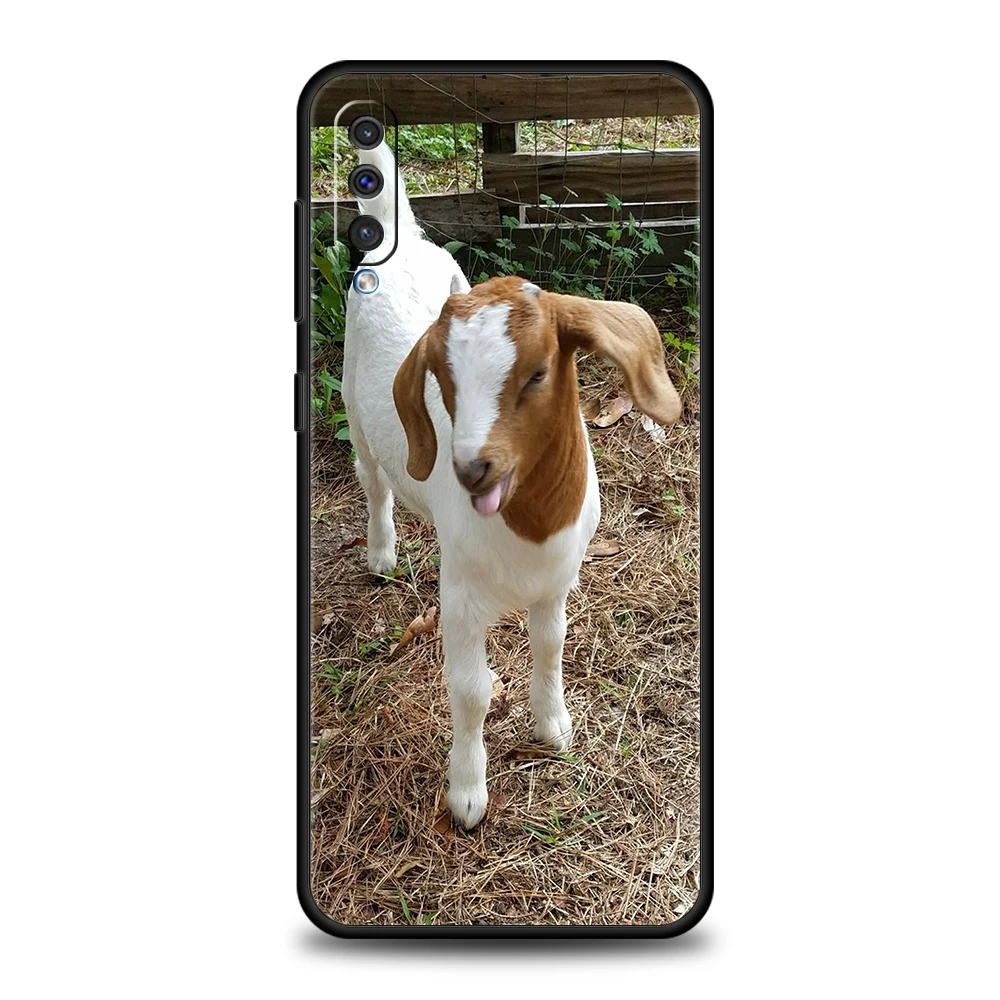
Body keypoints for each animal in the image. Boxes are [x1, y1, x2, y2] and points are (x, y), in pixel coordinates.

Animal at [341, 143, 682, 829]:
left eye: (538, 373)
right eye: (441, 379)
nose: (472, 468)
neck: (530, 526)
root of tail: (395, 234)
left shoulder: (558, 579)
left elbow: (550, 646)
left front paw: (553, 728)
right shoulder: (462, 598)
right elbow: (471, 691)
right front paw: (468, 795)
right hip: (351, 403)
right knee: (374, 481)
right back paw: (382, 553)